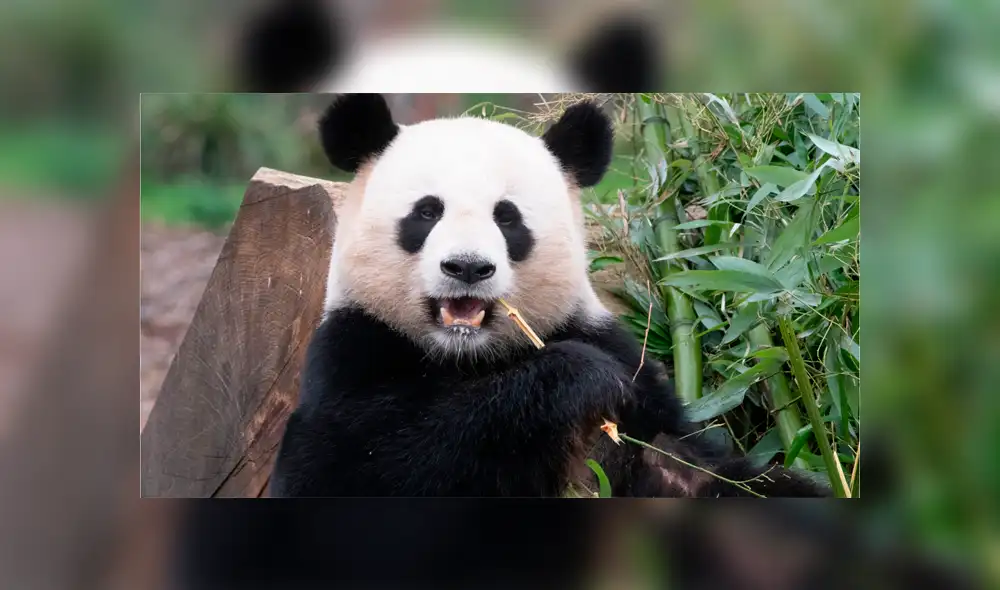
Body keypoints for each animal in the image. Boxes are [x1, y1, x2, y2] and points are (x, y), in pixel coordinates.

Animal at [270, 94, 828, 498]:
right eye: (427, 212)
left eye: (507, 217)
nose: (467, 268)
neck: (465, 357)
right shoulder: (355, 348)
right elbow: (346, 466)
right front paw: (580, 378)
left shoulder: (627, 376)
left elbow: (703, 472)